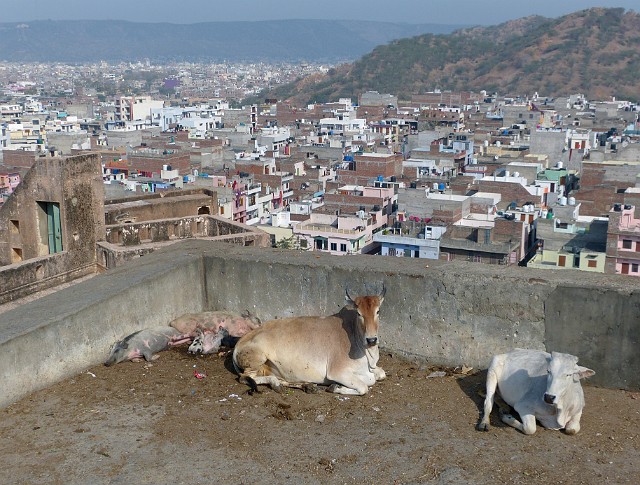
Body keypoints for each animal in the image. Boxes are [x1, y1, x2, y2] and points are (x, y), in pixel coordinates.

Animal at [234, 288, 388, 394]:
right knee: (244, 377)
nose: (371, 339)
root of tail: (239, 343)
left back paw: (307, 386)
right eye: (358, 313)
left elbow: (380, 374)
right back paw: (276, 383)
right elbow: (364, 387)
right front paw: (335, 387)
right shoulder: (337, 371)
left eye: (378, 311)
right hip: (257, 358)